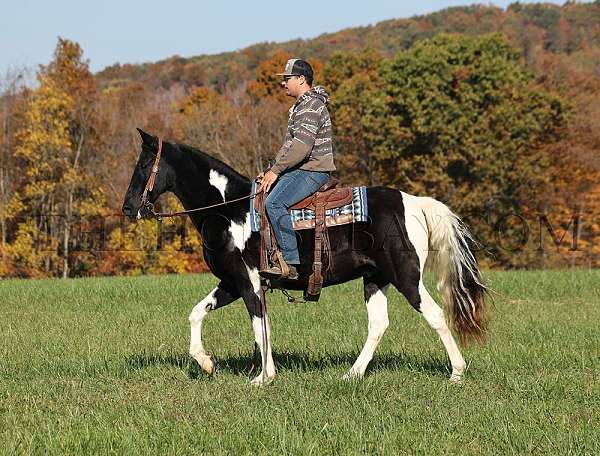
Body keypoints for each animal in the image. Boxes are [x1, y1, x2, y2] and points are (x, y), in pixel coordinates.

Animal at [123, 128, 488, 384]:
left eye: (143, 164)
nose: (128, 208)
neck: (229, 209)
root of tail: (412, 202)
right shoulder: (232, 281)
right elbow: (198, 313)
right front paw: (207, 363)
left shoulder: (247, 282)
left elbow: (259, 326)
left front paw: (263, 377)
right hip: (375, 278)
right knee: (378, 324)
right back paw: (352, 374)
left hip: (406, 276)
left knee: (436, 315)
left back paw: (457, 372)